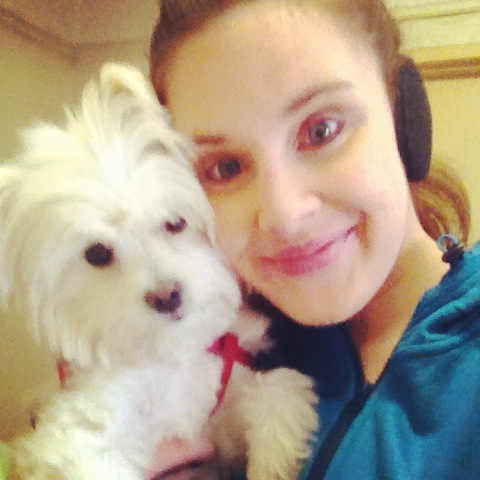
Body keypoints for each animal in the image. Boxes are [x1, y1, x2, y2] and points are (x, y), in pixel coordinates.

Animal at [1, 63, 318, 480]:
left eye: (175, 222)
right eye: (97, 253)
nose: (168, 296)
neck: (171, 356)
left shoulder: (229, 395)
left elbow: (276, 391)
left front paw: (270, 461)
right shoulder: (81, 434)